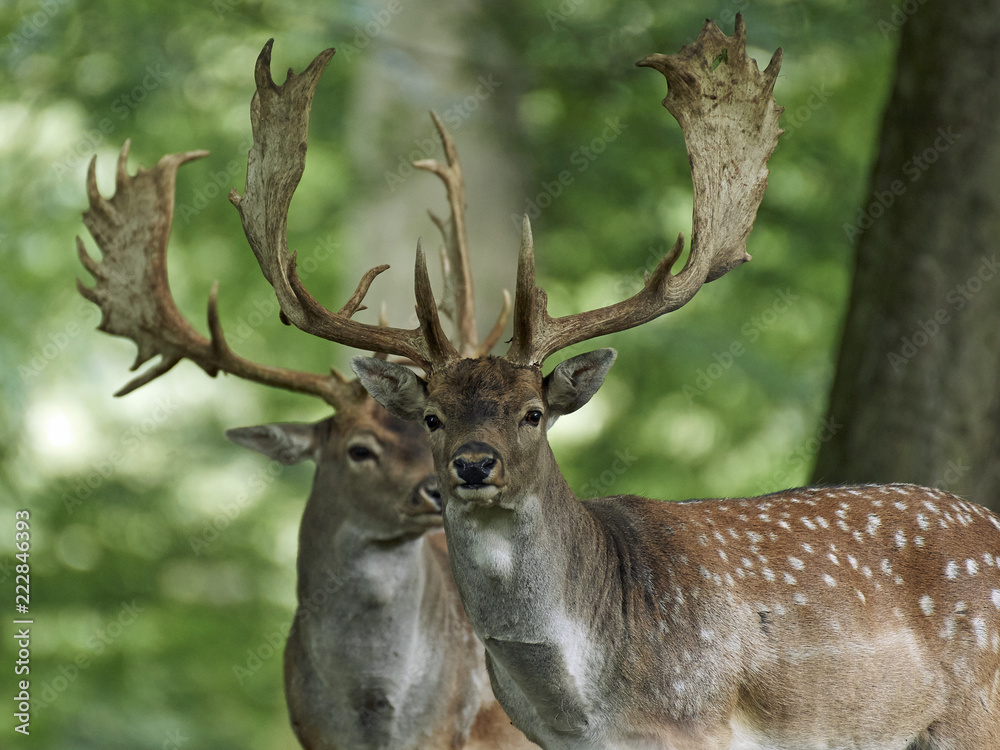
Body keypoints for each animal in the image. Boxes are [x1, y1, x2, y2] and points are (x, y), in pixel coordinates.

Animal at [236, 14, 1000, 750]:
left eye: (532, 412)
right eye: (432, 416)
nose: (473, 465)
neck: (587, 700)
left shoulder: (700, 723)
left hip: (973, 715)